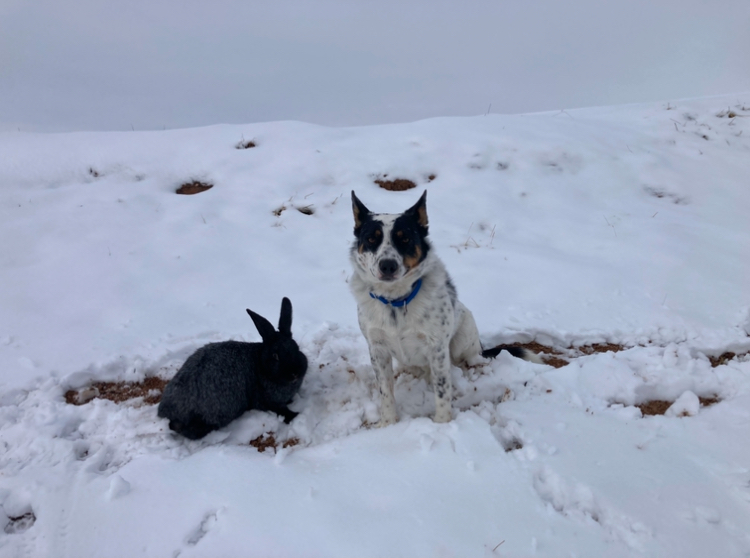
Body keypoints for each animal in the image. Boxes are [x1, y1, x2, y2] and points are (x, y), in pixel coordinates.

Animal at [157, 297, 308, 440]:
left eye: (297, 348)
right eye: (275, 356)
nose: (295, 373)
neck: (261, 364)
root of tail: (167, 410)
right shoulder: (265, 401)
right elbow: (281, 410)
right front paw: (295, 415)